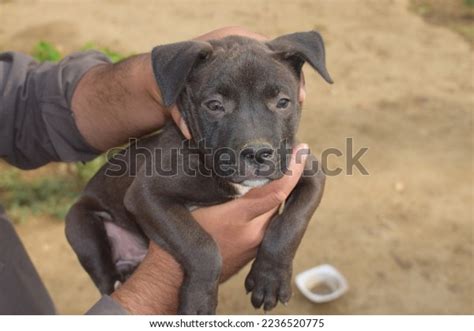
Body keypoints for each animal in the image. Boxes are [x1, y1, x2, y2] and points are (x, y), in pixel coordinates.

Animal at [65, 31, 334, 316]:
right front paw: (198, 302)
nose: (257, 153)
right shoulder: (146, 195)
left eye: (283, 102)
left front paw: (270, 278)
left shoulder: (309, 172)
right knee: (101, 269)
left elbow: (291, 223)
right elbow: (201, 246)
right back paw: (117, 281)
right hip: (79, 223)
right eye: (214, 106)